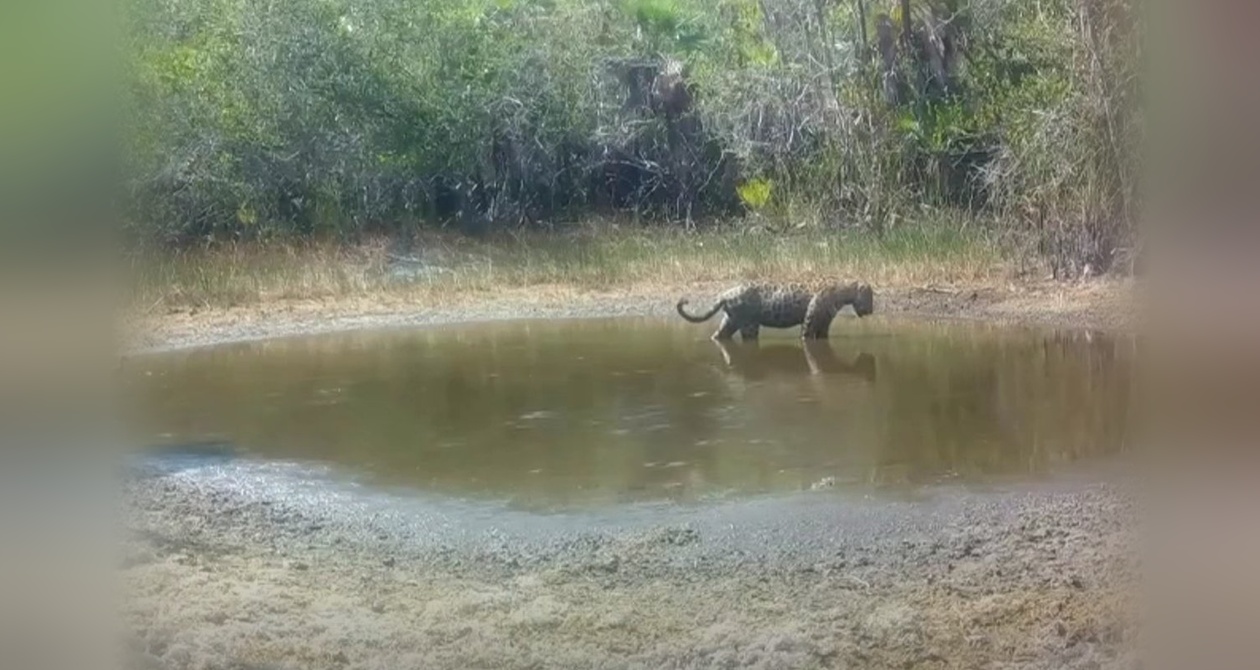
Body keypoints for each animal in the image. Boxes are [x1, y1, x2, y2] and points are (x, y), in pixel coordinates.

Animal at [676, 280, 874, 341]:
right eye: (870, 296)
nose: (872, 310)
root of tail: (725, 294)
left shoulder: (824, 322)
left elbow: (823, 335)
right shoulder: (810, 319)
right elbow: (806, 334)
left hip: (730, 321)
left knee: (718, 335)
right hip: (749, 324)